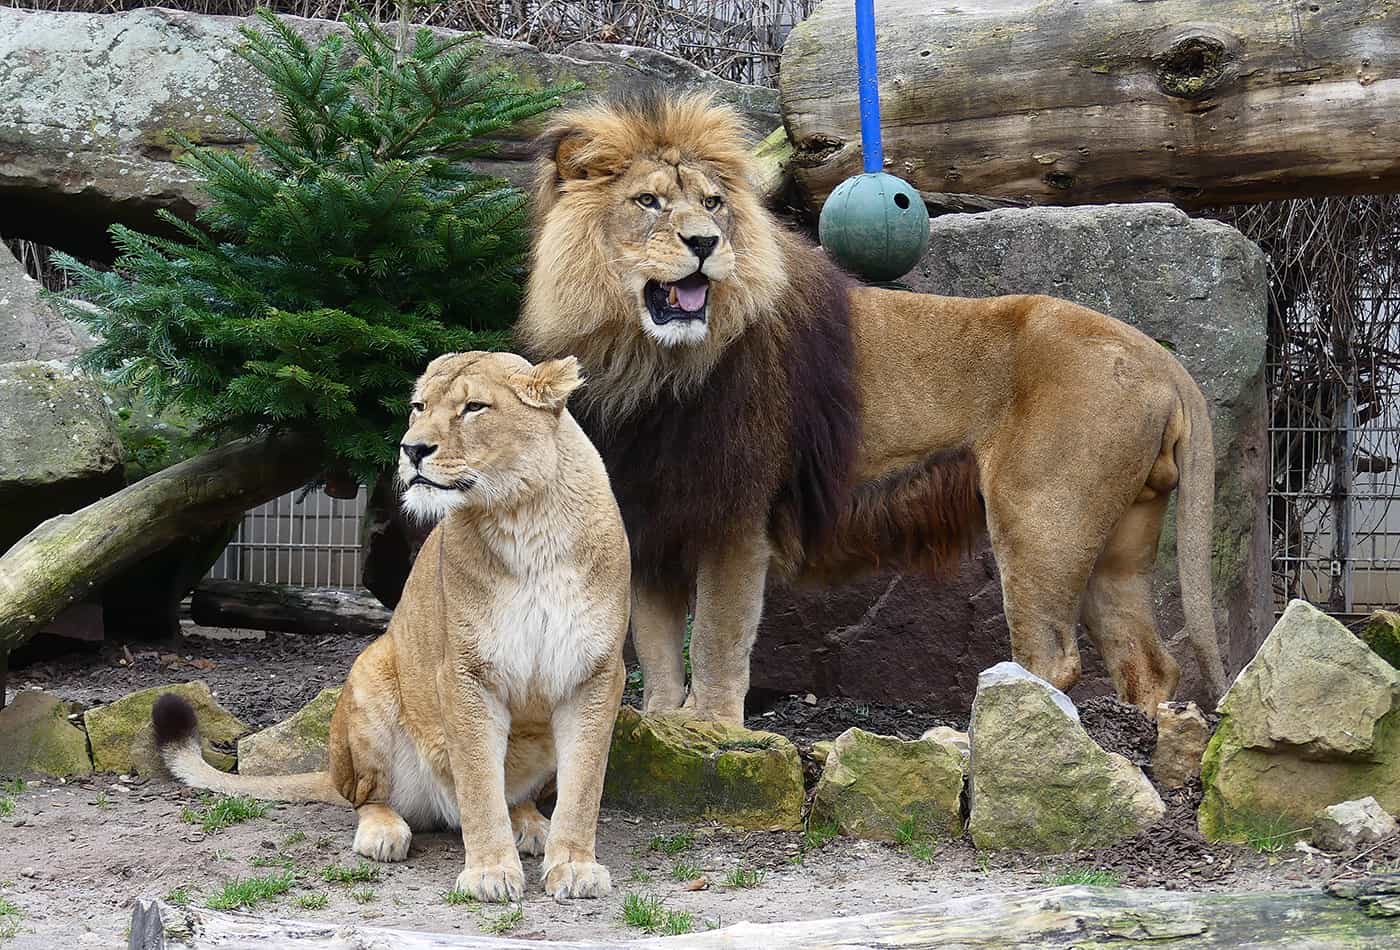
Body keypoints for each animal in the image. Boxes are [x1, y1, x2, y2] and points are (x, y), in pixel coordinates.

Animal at [150, 352, 627, 901]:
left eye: (474, 407)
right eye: (419, 407)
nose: (412, 449)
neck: (526, 521)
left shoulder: (596, 672)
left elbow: (584, 783)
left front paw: (573, 865)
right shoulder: (464, 673)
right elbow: (479, 782)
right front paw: (489, 871)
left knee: (518, 796)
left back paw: (530, 824)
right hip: (370, 674)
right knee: (368, 798)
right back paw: (384, 832)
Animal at [518, 93, 1226, 721]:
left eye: (712, 204)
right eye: (649, 202)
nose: (705, 243)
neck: (651, 365)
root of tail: (1159, 356)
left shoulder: (737, 517)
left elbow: (717, 641)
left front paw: (711, 729)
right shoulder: (653, 517)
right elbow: (660, 651)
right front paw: (661, 724)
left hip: (1040, 517)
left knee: (1051, 658)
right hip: (1117, 540)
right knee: (1147, 662)